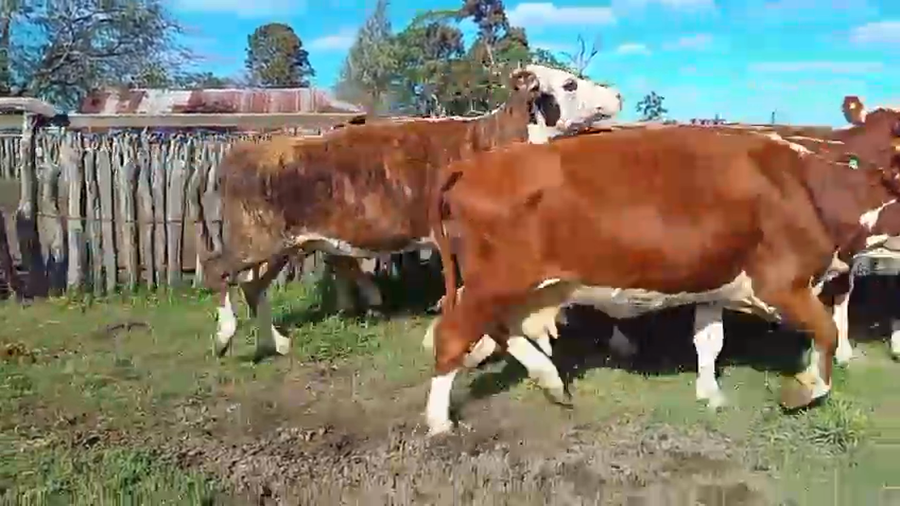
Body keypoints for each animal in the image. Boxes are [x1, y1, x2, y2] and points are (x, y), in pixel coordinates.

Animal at [201, 65, 623, 360]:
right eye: (569, 84)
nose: (618, 93)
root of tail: (247, 149)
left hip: (288, 243)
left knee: (253, 286)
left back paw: (277, 344)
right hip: (256, 238)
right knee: (217, 268)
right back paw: (224, 337)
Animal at [424, 97, 900, 411]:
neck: (813, 185)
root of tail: (474, 164)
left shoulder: (714, 281)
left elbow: (710, 340)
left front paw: (710, 393)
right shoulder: (784, 284)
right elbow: (827, 333)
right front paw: (803, 389)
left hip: (520, 285)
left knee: (500, 329)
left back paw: (550, 380)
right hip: (494, 281)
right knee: (454, 335)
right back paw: (439, 422)